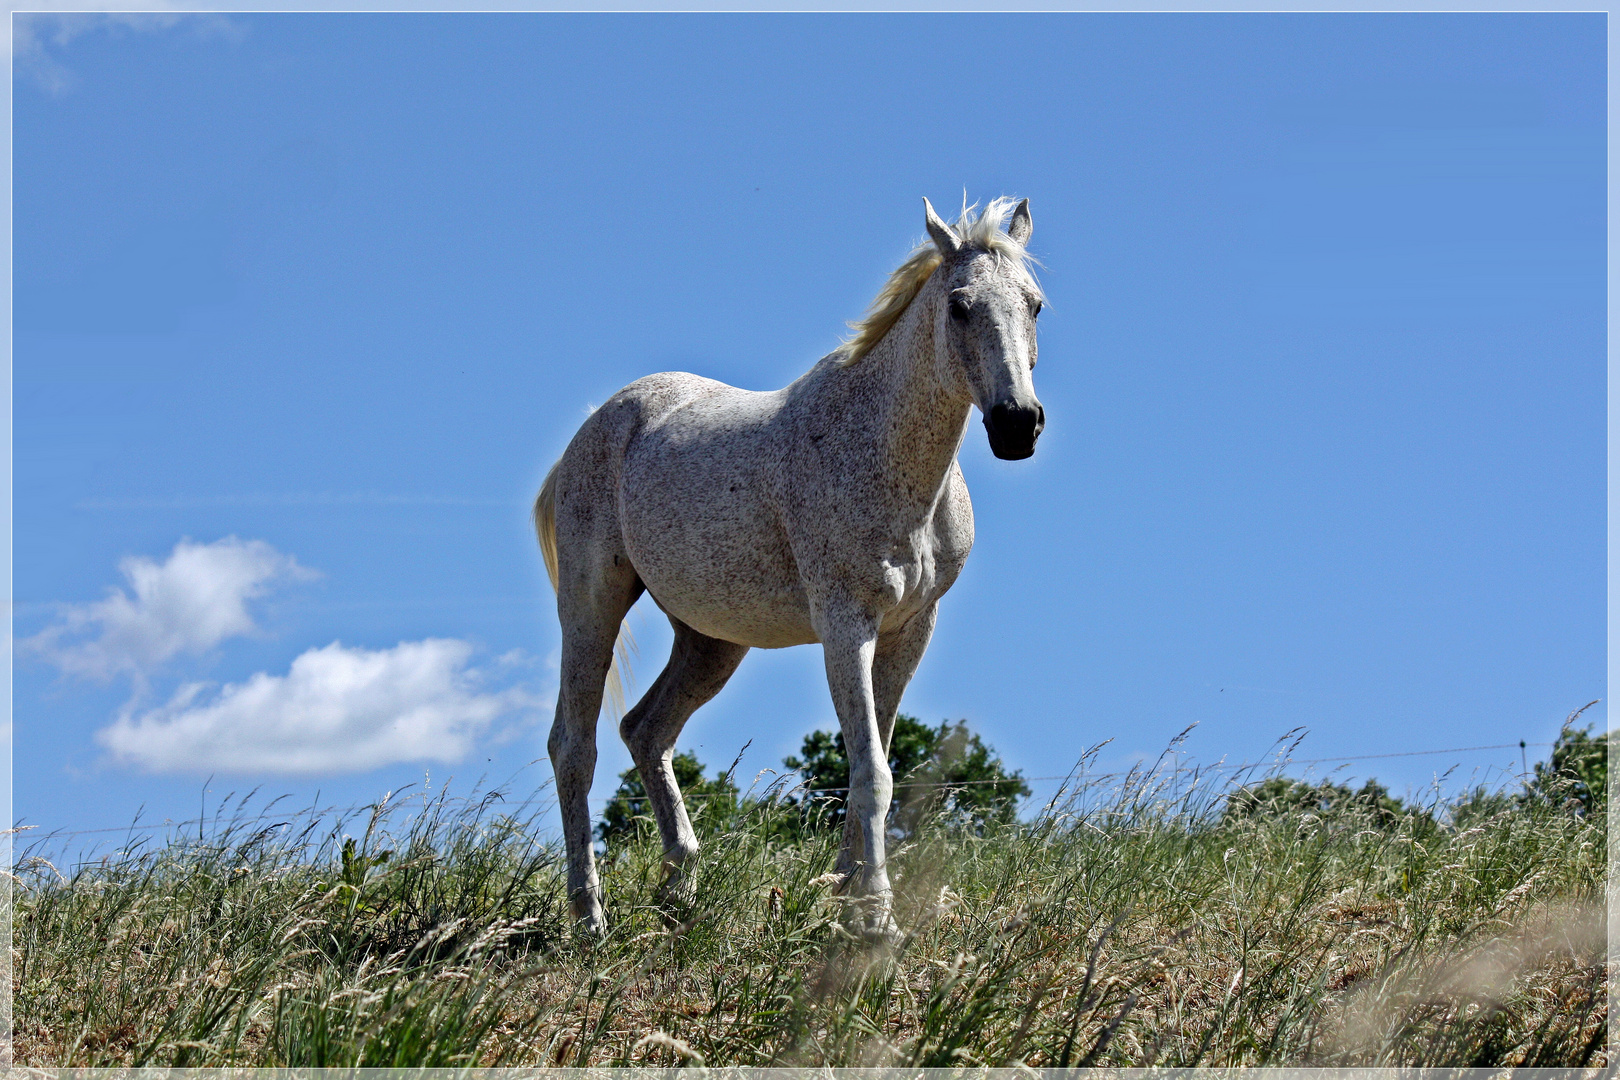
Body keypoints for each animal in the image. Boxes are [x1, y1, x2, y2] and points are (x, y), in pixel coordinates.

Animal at [537, 196, 1043, 939]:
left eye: (1034, 304)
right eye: (959, 306)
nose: (1017, 425)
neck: (884, 453)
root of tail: (591, 432)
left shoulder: (909, 629)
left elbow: (870, 763)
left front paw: (844, 895)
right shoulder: (846, 625)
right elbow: (871, 772)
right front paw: (876, 918)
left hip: (711, 641)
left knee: (646, 732)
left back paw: (680, 890)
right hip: (591, 604)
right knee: (574, 746)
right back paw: (590, 917)